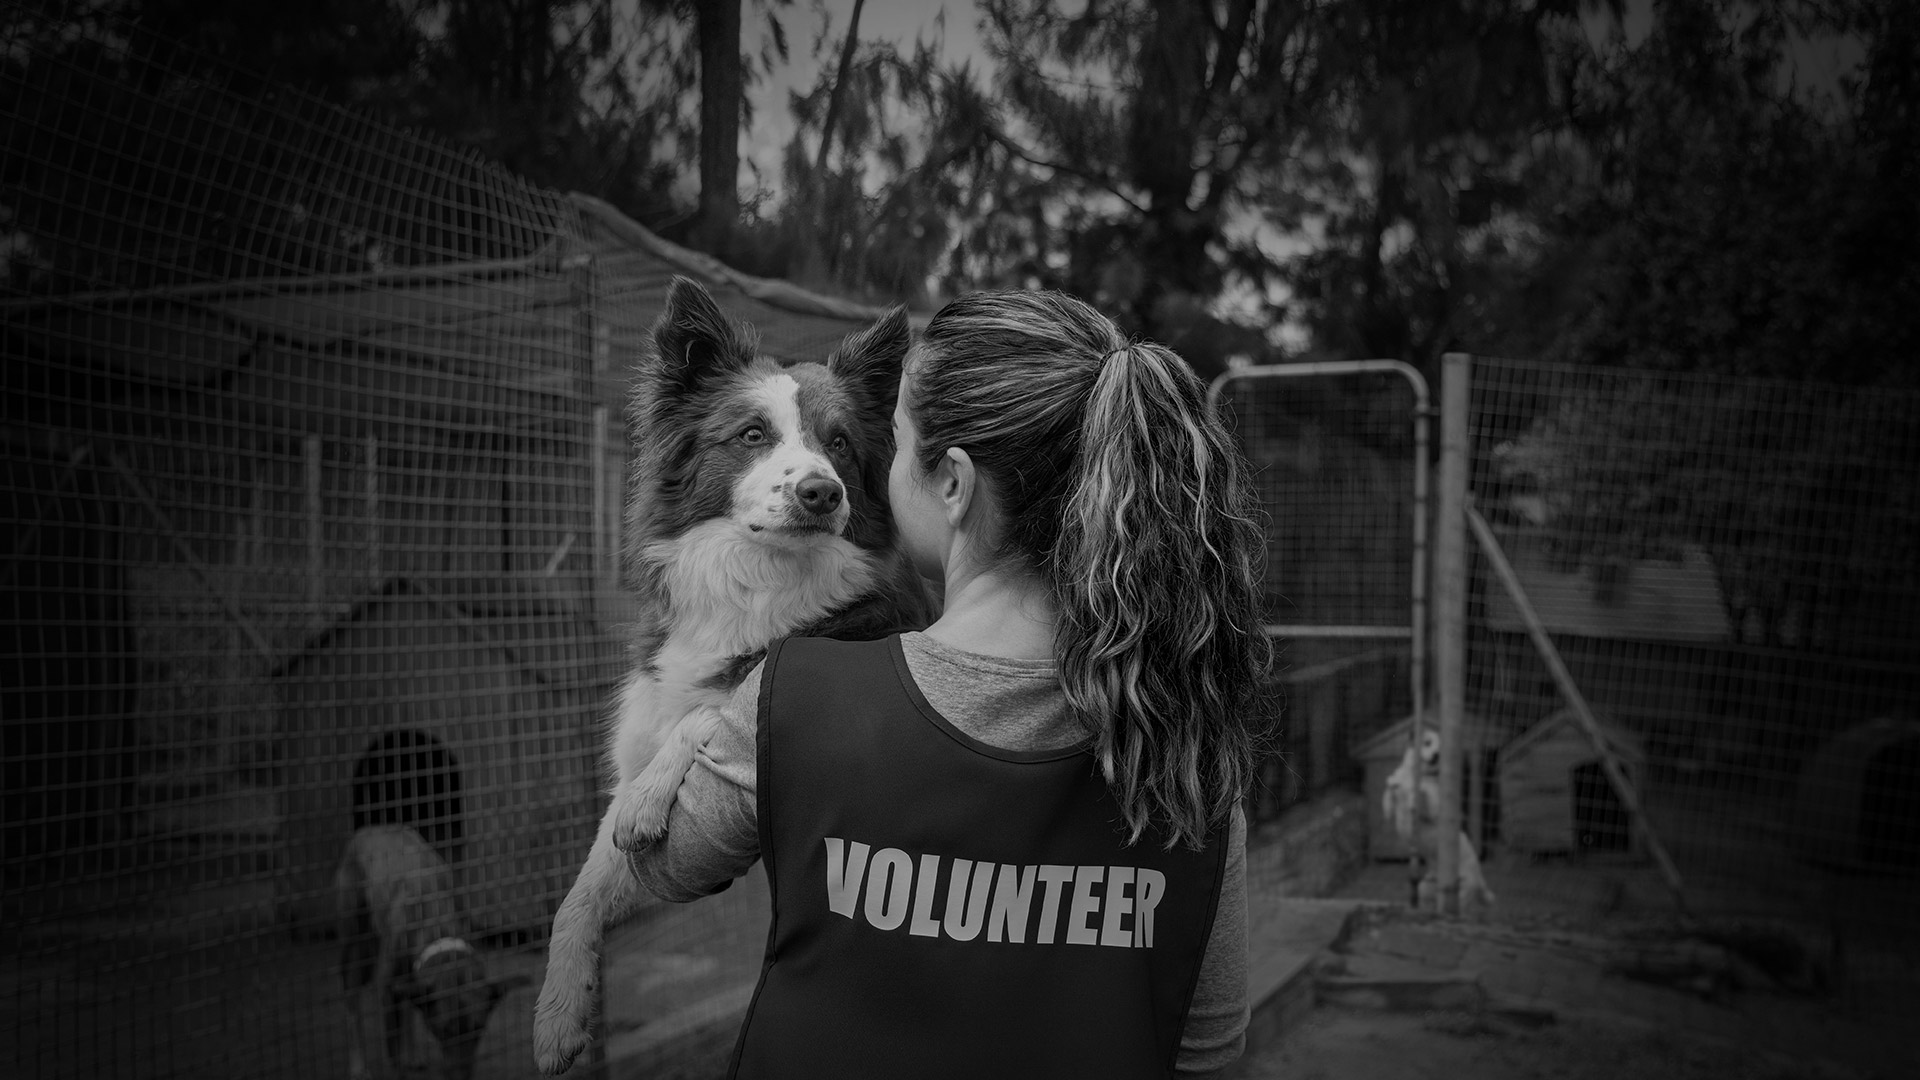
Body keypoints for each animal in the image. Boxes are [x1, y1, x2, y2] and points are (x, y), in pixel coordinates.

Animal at [330, 818, 526, 1068]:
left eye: (478, 1030)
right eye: (442, 1031)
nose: (459, 1073)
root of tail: (371, 827)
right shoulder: (387, 991)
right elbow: (393, 1054)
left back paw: (412, 1054)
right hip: (356, 948)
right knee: (351, 999)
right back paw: (358, 1067)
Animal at [537, 274, 933, 1068]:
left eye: (839, 443)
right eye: (752, 435)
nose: (822, 493)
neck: (756, 582)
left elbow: (714, 708)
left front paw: (652, 795)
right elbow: (584, 887)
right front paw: (559, 1012)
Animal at [1390, 722, 1489, 907]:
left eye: (1442, 747)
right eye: (1427, 743)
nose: (1437, 755)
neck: (1420, 774)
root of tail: (1481, 880)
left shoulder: (1432, 810)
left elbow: (1421, 799)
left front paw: (1417, 797)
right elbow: (1391, 793)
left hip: (1462, 893)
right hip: (1424, 888)